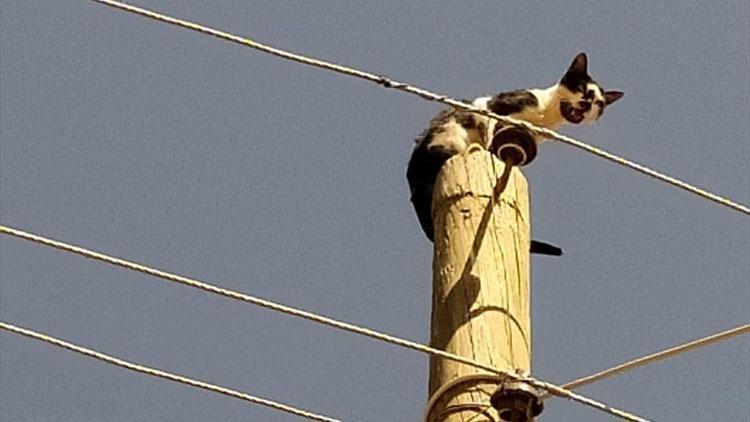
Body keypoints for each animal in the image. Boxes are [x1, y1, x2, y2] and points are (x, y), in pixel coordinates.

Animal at [408, 52, 624, 254]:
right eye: (581, 89)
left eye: (599, 104)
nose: (587, 103)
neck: (546, 116)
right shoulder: (494, 108)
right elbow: (490, 133)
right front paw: (488, 147)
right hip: (450, 133)